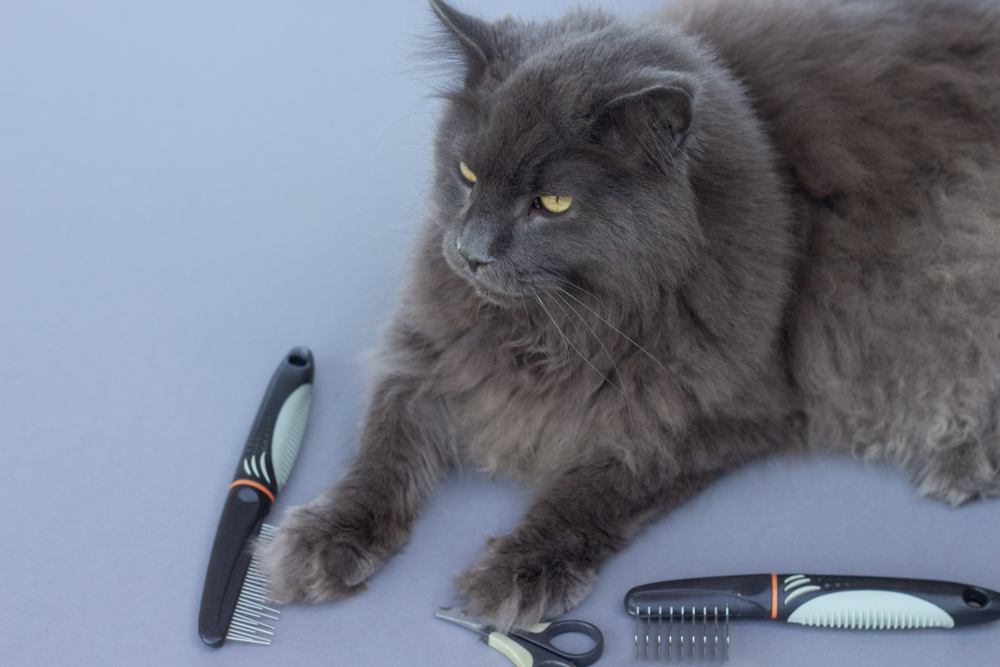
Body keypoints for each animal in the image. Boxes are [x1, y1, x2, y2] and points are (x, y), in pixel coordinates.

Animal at [260, 0, 1000, 632]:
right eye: (466, 174)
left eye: (552, 203)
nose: (470, 253)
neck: (552, 327)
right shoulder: (426, 351)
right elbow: (382, 450)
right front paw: (327, 538)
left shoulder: (720, 407)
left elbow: (595, 488)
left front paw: (520, 570)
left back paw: (964, 460)